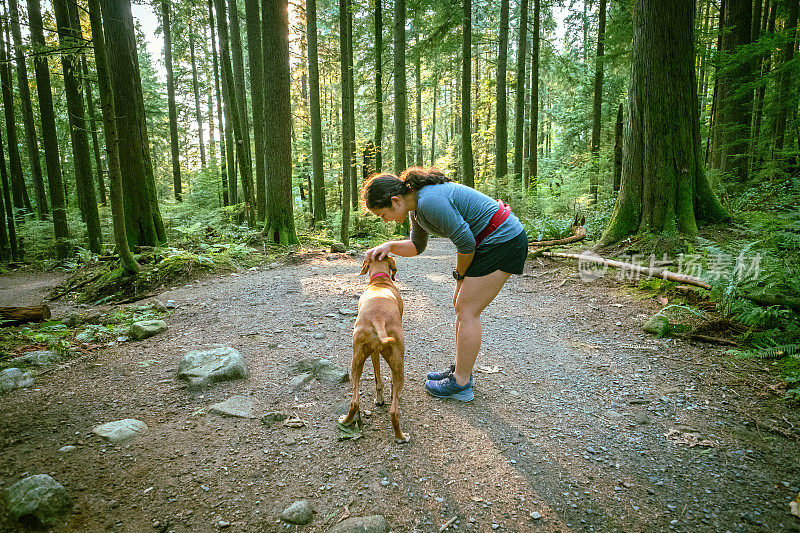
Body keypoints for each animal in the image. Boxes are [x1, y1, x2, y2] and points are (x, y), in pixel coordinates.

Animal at [340, 256, 410, 442]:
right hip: (399, 365)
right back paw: (401, 436)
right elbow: (390, 382)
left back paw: (346, 421)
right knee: (394, 411)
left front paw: (379, 400)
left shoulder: (373, 352)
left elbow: (378, 379)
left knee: (354, 401)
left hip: (356, 361)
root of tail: (378, 318)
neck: (380, 282)